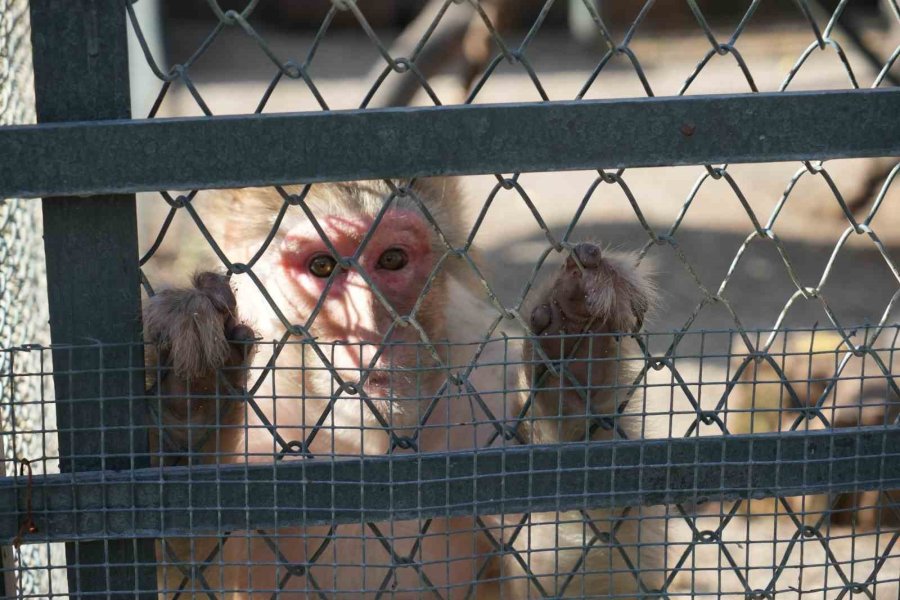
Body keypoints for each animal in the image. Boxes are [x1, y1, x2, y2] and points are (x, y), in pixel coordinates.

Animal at [144, 179, 664, 600]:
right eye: (322, 266)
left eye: (392, 259)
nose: (372, 326)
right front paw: (190, 412)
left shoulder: (486, 386)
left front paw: (577, 374)